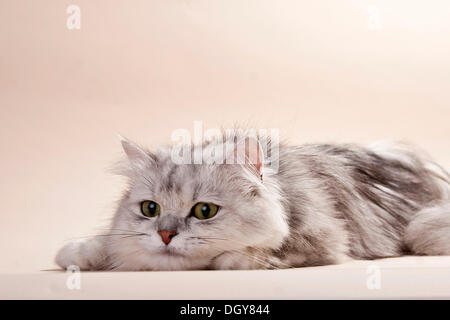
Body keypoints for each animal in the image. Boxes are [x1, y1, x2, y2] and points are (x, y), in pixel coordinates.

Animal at [55, 130, 450, 270]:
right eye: (150, 209)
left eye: (204, 211)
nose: (165, 235)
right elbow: (106, 243)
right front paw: (78, 253)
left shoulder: (322, 240)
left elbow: (247, 255)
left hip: (421, 228)